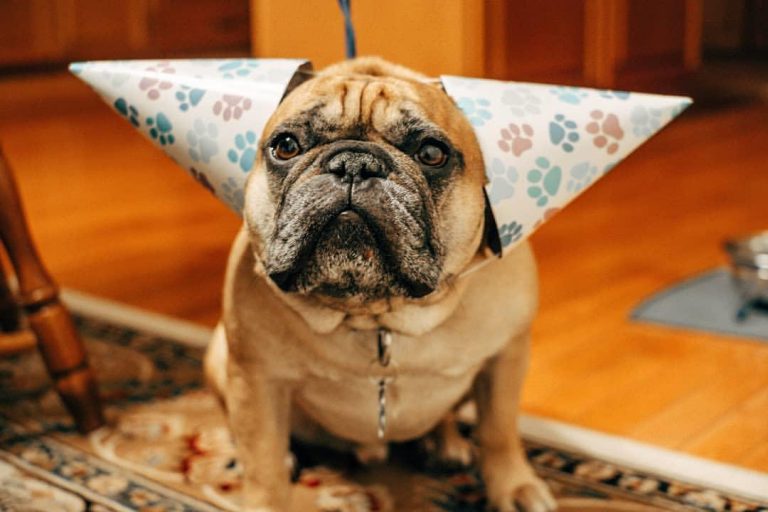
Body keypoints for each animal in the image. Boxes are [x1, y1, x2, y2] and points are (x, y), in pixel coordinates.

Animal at [201, 57, 556, 512]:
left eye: (432, 153)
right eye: (286, 146)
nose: (354, 163)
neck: (376, 314)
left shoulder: (505, 357)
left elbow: (499, 430)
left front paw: (513, 486)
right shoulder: (256, 379)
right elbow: (262, 462)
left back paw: (446, 443)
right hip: (219, 357)